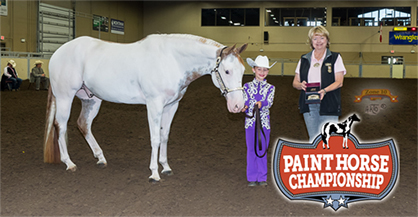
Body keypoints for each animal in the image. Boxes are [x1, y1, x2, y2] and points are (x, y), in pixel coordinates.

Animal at [45, 34, 248, 182]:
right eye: (227, 71)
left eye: (242, 71)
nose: (237, 105)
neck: (171, 60)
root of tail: (57, 53)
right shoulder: (154, 105)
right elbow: (155, 138)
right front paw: (154, 173)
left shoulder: (171, 106)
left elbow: (165, 136)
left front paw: (166, 167)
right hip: (65, 97)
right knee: (60, 126)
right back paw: (69, 163)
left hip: (91, 99)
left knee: (83, 124)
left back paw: (100, 158)